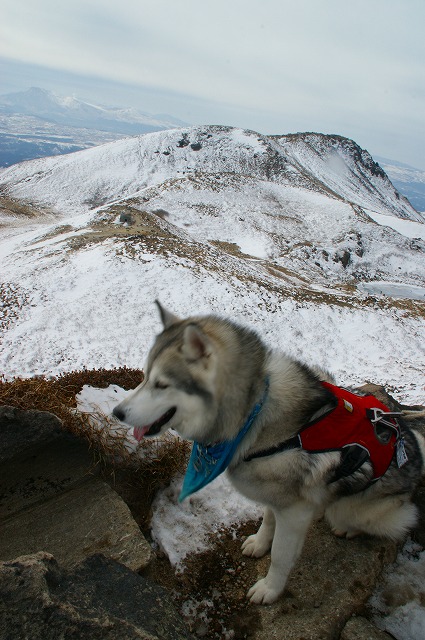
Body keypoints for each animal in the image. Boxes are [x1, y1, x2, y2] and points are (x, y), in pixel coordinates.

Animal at [112, 304, 424, 604]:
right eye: (144, 377)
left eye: (162, 385)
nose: (117, 412)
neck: (255, 412)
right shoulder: (279, 497)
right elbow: (269, 518)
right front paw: (260, 543)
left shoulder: (294, 510)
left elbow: (281, 555)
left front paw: (270, 589)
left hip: (362, 510)